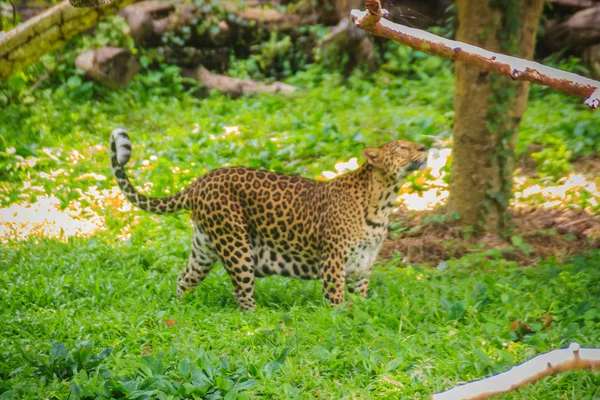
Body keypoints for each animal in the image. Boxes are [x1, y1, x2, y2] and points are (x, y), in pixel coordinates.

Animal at [109, 128, 426, 310]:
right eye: (400, 147)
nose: (423, 148)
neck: (383, 200)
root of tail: (199, 182)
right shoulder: (334, 260)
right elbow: (336, 299)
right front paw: (341, 320)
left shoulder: (364, 262)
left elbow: (359, 295)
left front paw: (362, 316)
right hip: (235, 245)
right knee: (241, 292)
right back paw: (257, 321)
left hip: (203, 248)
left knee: (184, 278)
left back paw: (179, 309)